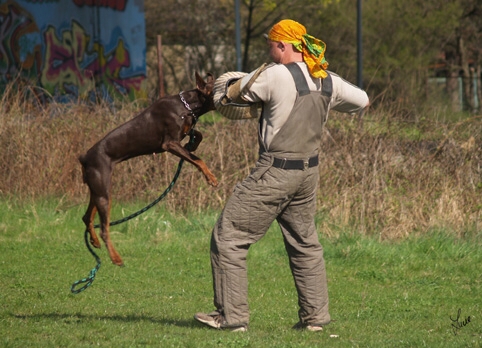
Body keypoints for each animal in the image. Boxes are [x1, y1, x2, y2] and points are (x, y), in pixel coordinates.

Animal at [78, 72, 217, 266]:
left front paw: (194, 144)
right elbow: (198, 160)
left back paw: (95, 241)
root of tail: (85, 159)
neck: (187, 106)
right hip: (103, 192)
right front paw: (211, 177)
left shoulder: (183, 133)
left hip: (96, 190)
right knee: (104, 228)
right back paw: (116, 258)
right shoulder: (169, 144)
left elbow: (198, 134)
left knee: (86, 217)